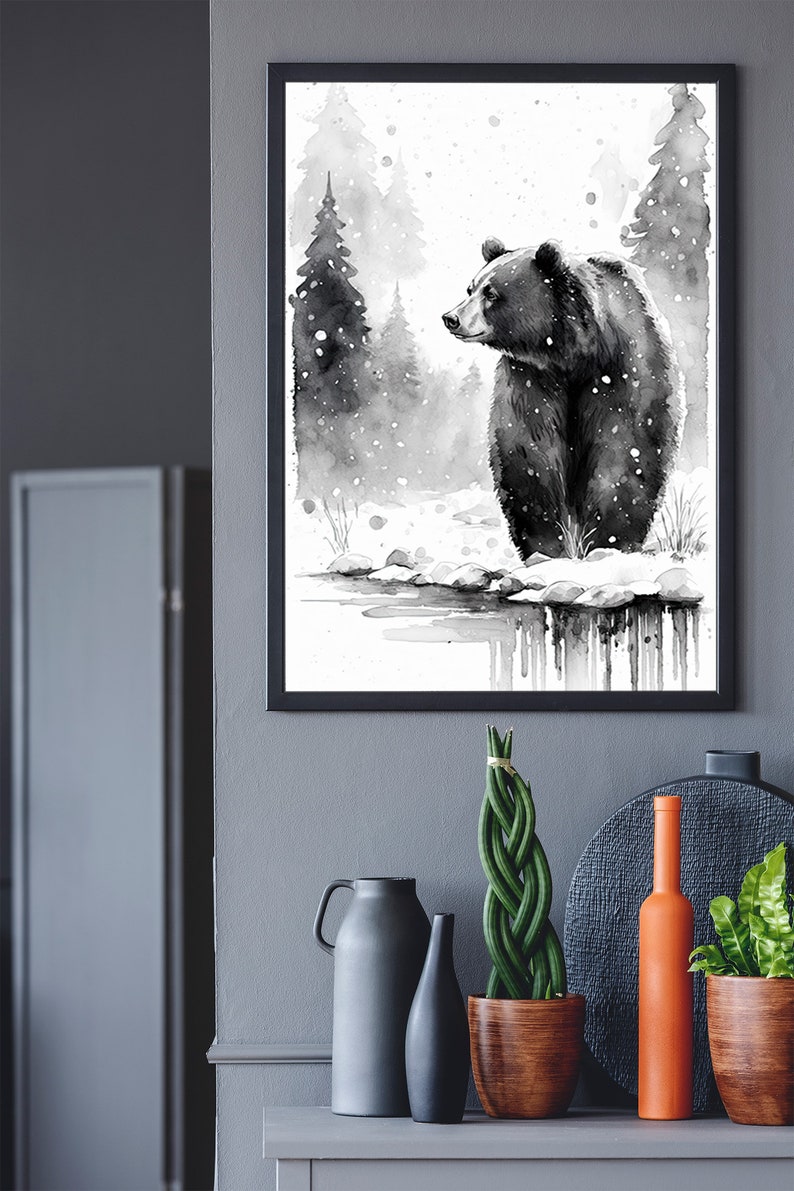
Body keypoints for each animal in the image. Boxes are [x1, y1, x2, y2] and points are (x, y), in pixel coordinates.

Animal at [442, 238, 679, 560]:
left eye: (491, 293)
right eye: (471, 288)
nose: (451, 318)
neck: (571, 357)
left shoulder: (624, 370)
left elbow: (626, 448)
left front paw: (609, 540)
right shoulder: (531, 379)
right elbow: (530, 451)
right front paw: (546, 547)